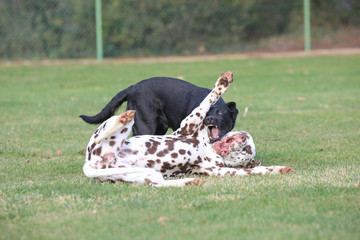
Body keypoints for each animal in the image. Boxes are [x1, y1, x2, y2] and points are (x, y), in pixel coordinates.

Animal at [81, 76, 239, 142]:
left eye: (220, 112)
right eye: (207, 113)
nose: (209, 119)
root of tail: (132, 88)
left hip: (159, 128)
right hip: (145, 126)